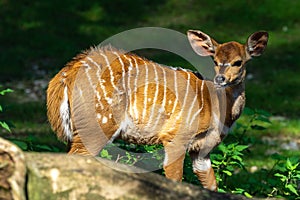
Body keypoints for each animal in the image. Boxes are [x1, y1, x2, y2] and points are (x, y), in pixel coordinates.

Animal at [47, 29, 270, 191]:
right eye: (215, 61)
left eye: (238, 62)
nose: (220, 78)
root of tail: (67, 73)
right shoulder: (175, 137)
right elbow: (175, 179)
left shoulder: (202, 150)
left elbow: (211, 184)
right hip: (98, 124)